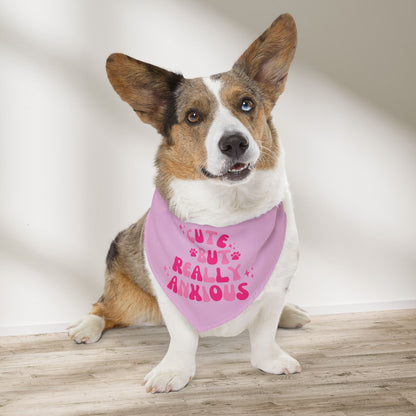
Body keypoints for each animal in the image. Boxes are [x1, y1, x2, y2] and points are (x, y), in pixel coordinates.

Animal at [69, 13, 308, 394]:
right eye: (193, 116)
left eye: (246, 104)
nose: (235, 143)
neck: (227, 214)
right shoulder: (171, 297)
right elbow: (182, 338)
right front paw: (173, 372)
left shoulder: (276, 286)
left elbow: (265, 331)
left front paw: (270, 360)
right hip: (130, 302)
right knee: (103, 307)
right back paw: (85, 327)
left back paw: (291, 313)